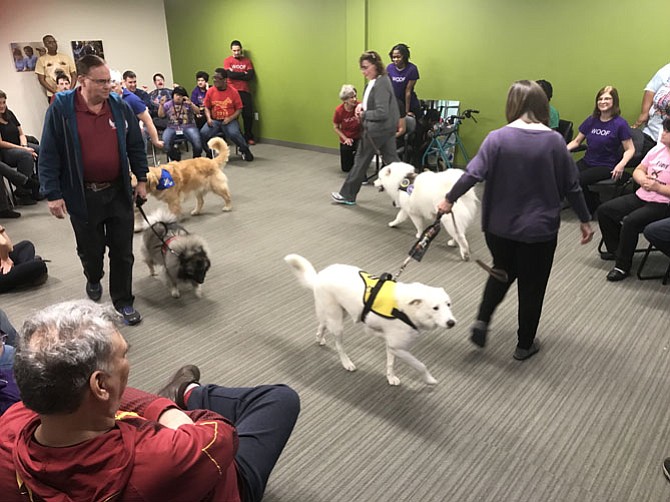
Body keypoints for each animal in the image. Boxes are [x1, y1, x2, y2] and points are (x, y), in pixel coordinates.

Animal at [284, 253, 456, 386]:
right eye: (435, 308)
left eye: (448, 304)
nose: (452, 323)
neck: (407, 310)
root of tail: (318, 277)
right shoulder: (398, 347)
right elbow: (420, 365)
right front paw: (429, 379)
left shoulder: (393, 347)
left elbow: (390, 363)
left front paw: (390, 377)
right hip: (338, 322)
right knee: (339, 344)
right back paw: (346, 362)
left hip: (340, 313)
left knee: (322, 324)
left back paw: (319, 338)